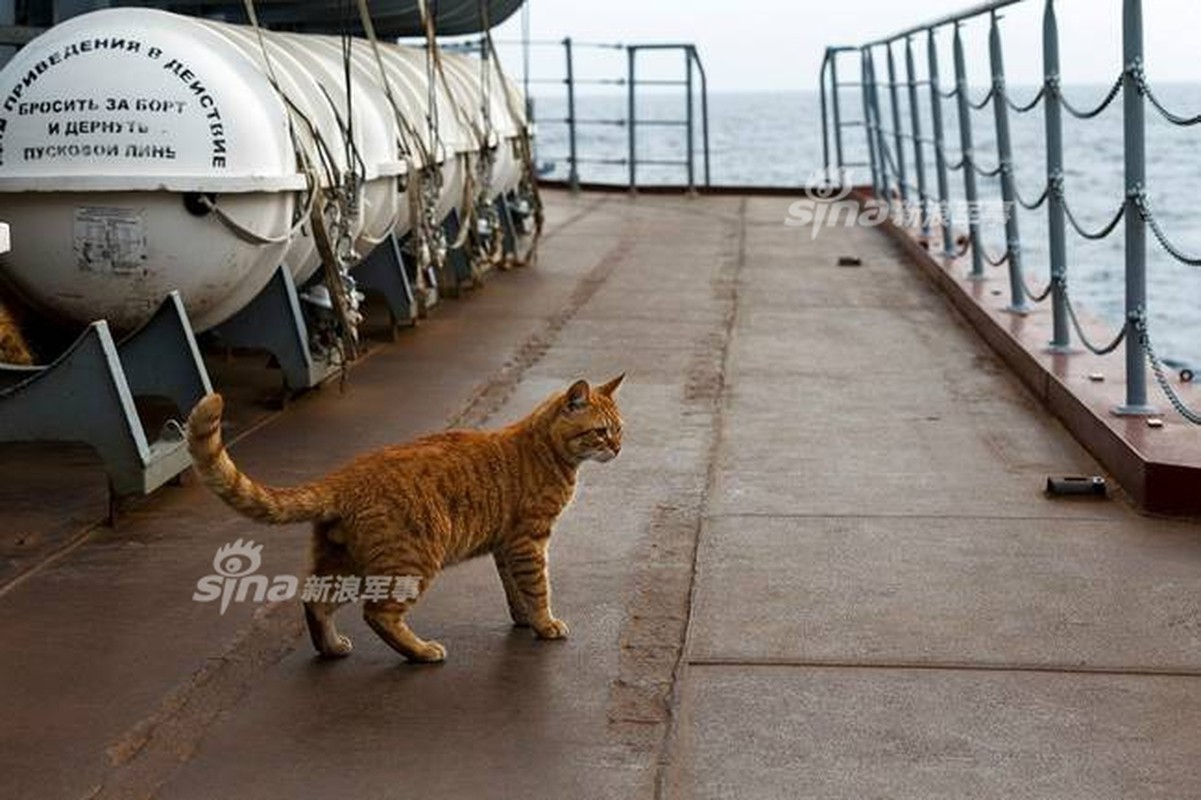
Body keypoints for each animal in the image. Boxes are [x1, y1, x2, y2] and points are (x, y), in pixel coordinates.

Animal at [184, 374, 629, 658]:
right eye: (601, 431)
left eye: (620, 429)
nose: (619, 448)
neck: (545, 448)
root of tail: (344, 476)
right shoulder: (528, 541)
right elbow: (537, 588)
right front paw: (545, 624)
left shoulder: (506, 546)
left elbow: (515, 590)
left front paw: (525, 621)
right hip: (412, 560)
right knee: (377, 614)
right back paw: (421, 651)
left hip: (344, 563)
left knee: (316, 601)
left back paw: (331, 649)